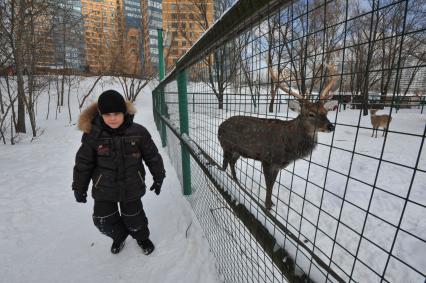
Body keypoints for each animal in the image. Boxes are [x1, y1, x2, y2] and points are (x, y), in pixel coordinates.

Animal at [220, 65, 336, 211]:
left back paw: (235, 180)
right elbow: (269, 185)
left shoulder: (278, 165)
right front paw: (267, 206)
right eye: (311, 114)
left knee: (231, 162)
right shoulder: (267, 159)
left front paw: (271, 203)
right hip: (227, 146)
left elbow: (273, 183)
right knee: (226, 161)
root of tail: (219, 127)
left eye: (325, 112)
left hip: (237, 151)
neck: (288, 146)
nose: (331, 126)